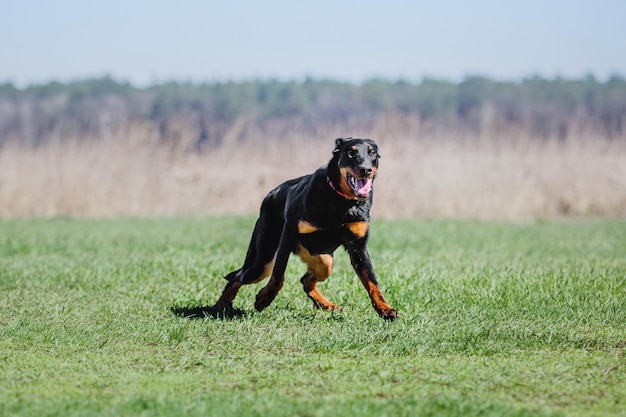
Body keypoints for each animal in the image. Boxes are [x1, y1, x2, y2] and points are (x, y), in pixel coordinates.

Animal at [208, 136, 394, 318]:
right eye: (350, 153)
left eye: (372, 153)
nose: (365, 170)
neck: (340, 200)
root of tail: (271, 194)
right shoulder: (288, 235)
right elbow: (278, 275)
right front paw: (264, 298)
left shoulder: (358, 247)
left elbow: (372, 282)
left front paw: (385, 309)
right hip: (263, 261)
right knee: (237, 277)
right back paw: (218, 307)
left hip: (325, 261)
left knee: (306, 280)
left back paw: (327, 305)